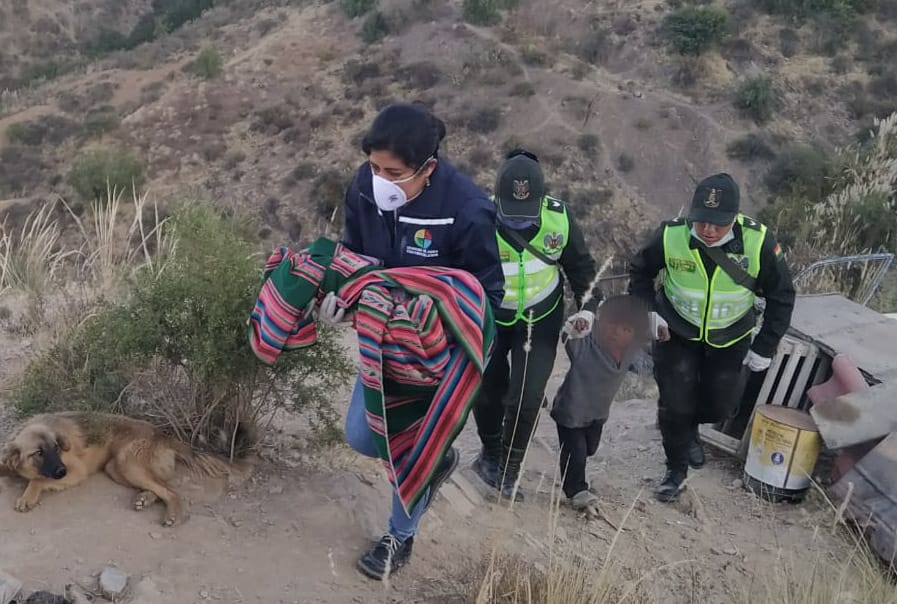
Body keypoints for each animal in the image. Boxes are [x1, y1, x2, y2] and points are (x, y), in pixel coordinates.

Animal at [0, 410, 245, 524]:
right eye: (38, 453)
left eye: (57, 447)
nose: (62, 472)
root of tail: (163, 435)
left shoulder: (76, 471)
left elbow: (38, 479)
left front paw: (27, 497)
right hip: (115, 468)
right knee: (160, 486)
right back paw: (145, 498)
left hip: (126, 463)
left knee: (171, 490)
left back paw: (172, 514)